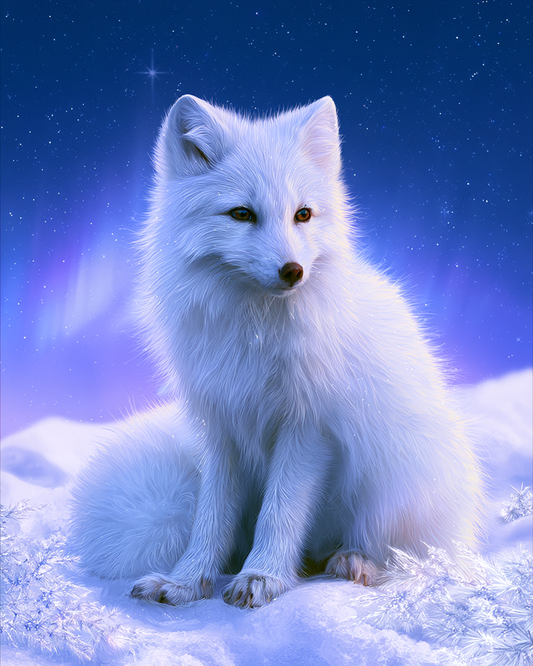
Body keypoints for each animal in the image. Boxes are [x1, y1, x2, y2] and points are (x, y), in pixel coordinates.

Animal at [70, 95, 483, 609]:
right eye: (241, 213)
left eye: (303, 214)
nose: (293, 270)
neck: (255, 333)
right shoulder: (221, 425)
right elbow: (211, 518)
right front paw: (186, 582)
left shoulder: (309, 427)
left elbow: (281, 510)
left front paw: (261, 577)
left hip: (399, 488)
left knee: (418, 560)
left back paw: (356, 562)